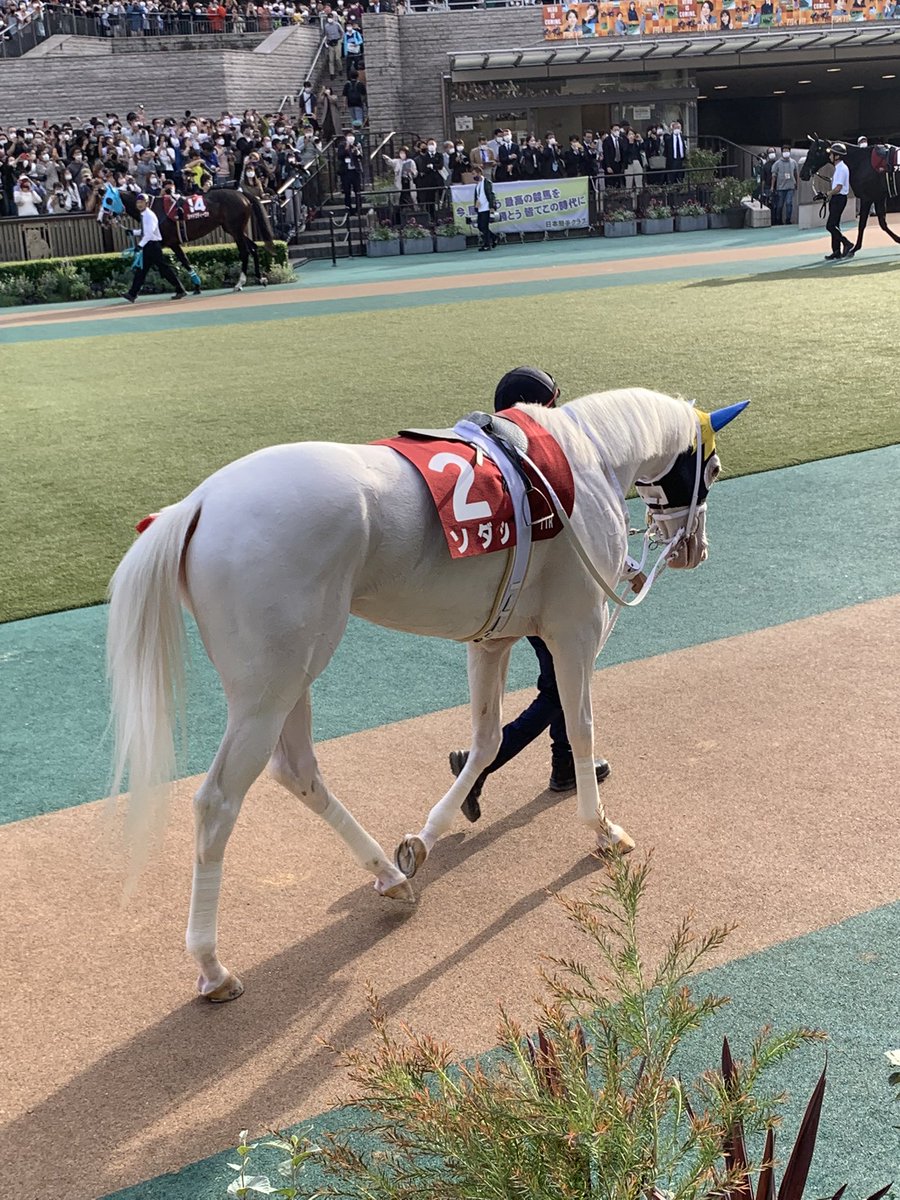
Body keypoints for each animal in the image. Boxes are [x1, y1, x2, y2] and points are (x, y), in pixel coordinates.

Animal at [88, 181, 276, 292]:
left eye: (108, 201)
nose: (100, 220)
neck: (152, 208)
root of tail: (242, 194)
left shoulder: (168, 242)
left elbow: (175, 262)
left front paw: (192, 285)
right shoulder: (167, 243)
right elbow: (177, 262)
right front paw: (194, 285)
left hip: (235, 230)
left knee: (244, 252)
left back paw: (240, 283)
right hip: (235, 229)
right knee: (253, 248)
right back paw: (260, 278)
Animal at [106, 388, 747, 1002]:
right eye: (713, 468)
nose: (695, 550)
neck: (587, 457)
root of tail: (198, 504)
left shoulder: (492, 638)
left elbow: (485, 741)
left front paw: (424, 838)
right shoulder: (576, 631)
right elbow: (579, 725)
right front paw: (602, 829)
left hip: (293, 673)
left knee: (298, 770)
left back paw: (390, 877)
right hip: (270, 684)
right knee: (217, 802)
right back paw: (212, 967)